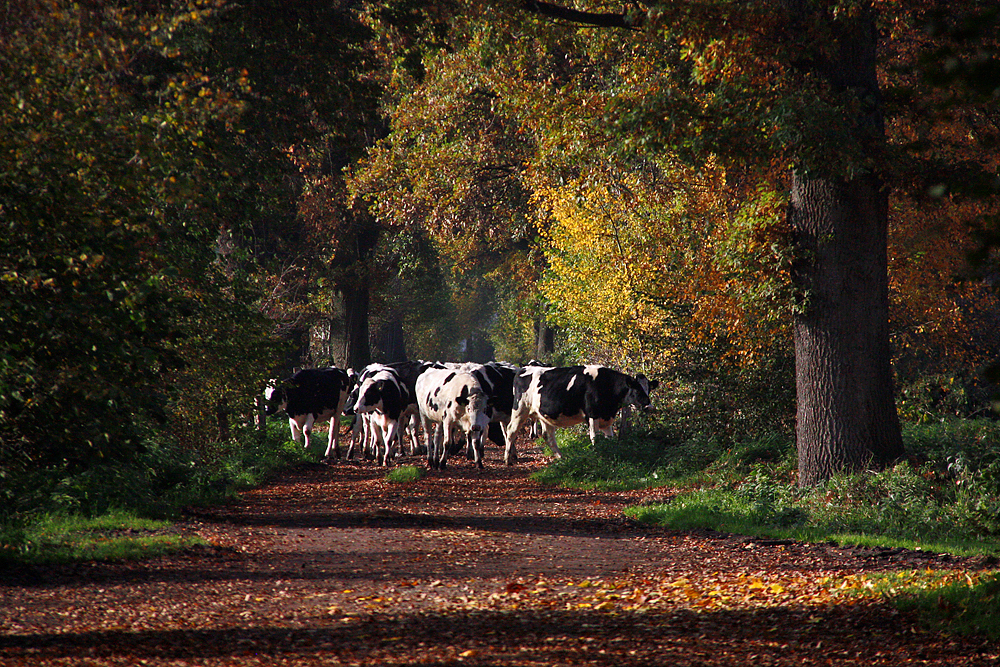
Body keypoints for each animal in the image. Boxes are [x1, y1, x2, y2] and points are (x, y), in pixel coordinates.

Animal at [504, 366, 660, 464]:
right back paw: (507, 459)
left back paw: (561, 457)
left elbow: (609, 439)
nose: (649, 405)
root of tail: (522, 369)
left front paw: (609, 454)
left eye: (649, 389)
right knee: (511, 431)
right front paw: (597, 455)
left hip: (544, 415)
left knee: (548, 436)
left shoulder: (606, 418)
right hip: (520, 409)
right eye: (637, 389)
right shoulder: (592, 414)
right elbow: (595, 438)